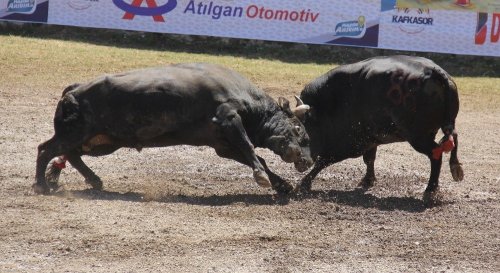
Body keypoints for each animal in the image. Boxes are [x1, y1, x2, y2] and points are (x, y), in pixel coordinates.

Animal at [33, 62, 310, 193]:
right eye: (299, 131)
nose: (306, 161)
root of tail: (74, 89)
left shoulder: (223, 144)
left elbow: (254, 156)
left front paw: (282, 185)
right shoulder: (228, 118)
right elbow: (251, 149)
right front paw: (263, 178)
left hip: (100, 141)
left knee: (71, 153)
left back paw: (91, 179)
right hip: (75, 132)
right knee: (46, 149)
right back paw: (42, 185)